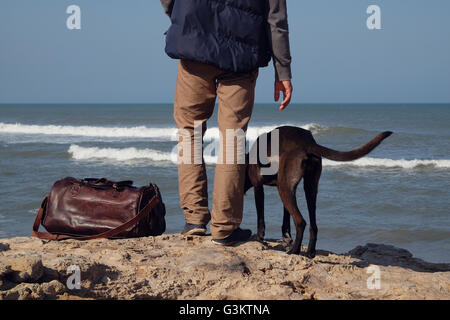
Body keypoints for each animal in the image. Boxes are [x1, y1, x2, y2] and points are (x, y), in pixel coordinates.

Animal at [244, 125, 392, 258]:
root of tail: (306, 142)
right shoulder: (289, 189)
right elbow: (286, 219)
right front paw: (286, 238)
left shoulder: (258, 187)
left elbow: (260, 216)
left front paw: (260, 238)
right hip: (308, 188)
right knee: (313, 225)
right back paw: (310, 252)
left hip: (285, 188)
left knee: (301, 222)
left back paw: (294, 251)